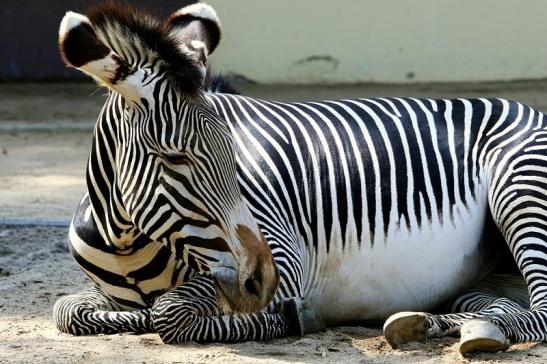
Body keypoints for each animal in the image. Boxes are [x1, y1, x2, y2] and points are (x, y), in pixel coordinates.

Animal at [52, 1, 547, 354]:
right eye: (175, 158)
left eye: (233, 149)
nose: (262, 281)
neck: (127, 246)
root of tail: (521, 106)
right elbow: (69, 310)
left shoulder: (286, 258)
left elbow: (171, 313)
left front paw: (292, 318)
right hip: (483, 277)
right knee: (497, 304)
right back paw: (438, 324)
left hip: (521, 192)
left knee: (539, 313)